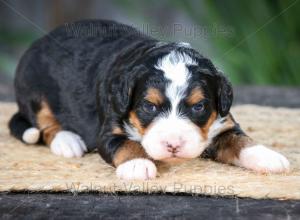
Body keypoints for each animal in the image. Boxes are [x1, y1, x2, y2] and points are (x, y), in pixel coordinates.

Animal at [9, 19, 290, 180]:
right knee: (45, 123)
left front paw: (268, 156)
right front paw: (137, 164)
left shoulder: (223, 123)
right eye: (149, 106)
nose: (173, 145)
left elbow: (241, 141)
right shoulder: (109, 130)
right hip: (34, 86)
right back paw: (67, 142)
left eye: (199, 106)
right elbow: (125, 145)